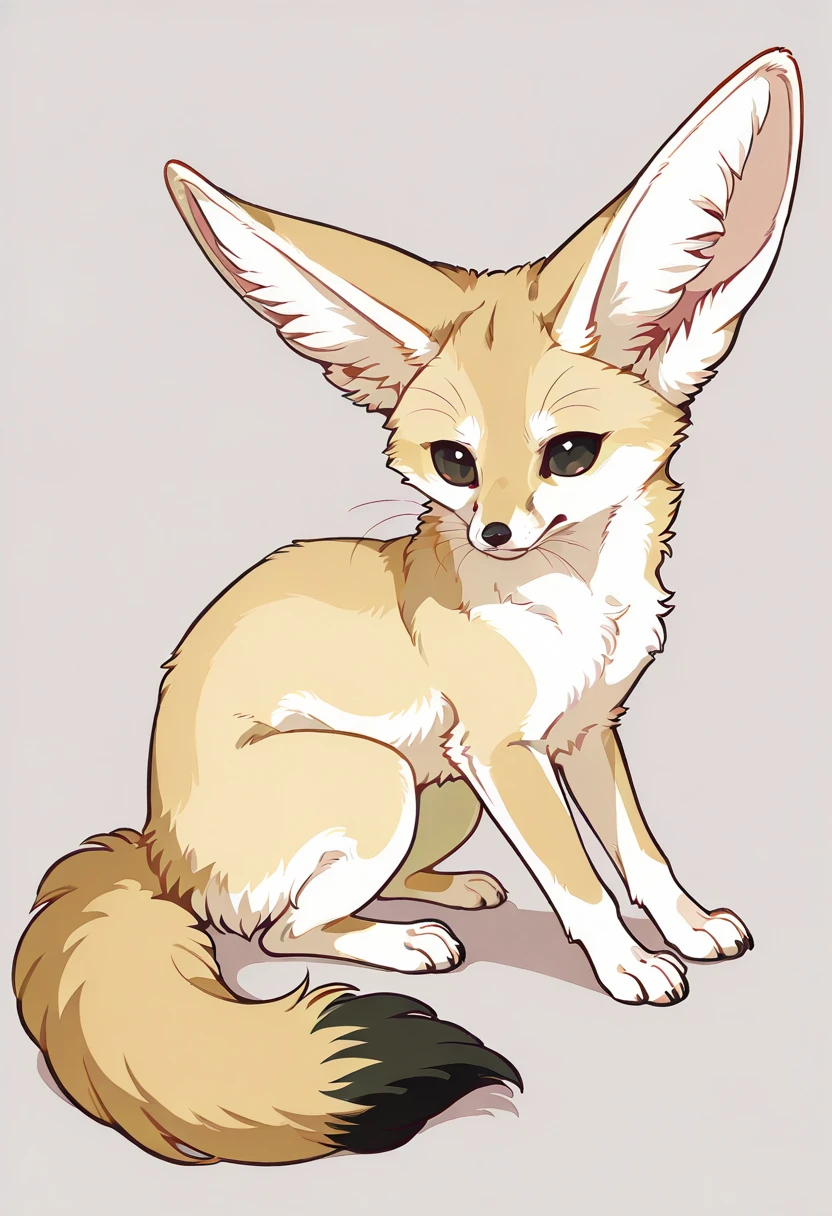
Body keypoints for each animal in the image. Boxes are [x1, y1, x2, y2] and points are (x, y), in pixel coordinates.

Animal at [13, 48, 802, 1166]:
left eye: (570, 454)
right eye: (454, 462)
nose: (497, 534)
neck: (578, 611)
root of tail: (156, 847)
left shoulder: (586, 732)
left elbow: (640, 855)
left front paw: (686, 926)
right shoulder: (506, 750)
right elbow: (582, 879)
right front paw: (628, 965)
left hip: (443, 791)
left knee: (327, 900)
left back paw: (444, 894)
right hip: (380, 778)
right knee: (278, 929)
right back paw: (407, 940)